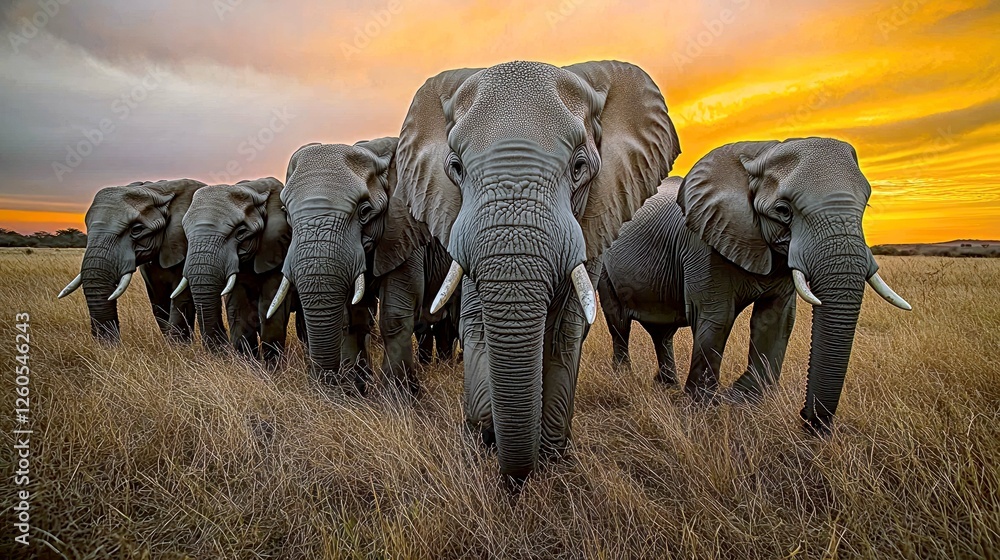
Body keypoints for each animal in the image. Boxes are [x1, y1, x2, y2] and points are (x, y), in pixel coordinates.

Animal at [171, 177, 302, 365]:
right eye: (186, 234)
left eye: (241, 232)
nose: (224, 347)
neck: (253, 190)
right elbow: (239, 308)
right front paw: (250, 366)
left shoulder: (277, 251)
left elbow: (269, 307)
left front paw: (272, 370)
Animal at [268, 138, 460, 396]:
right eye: (287, 214)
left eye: (365, 211)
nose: (323, 387)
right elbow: (353, 319)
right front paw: (354, 393)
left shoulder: (405, 230)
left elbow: (395, 315)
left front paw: (400, 397)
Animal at [378, 60, 680, 480]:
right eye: (456, 168)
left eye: (579, 167)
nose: (514, 477)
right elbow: (476, 325)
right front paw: (484, 435)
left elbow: (564, 335)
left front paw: (552, 457)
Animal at [599, 138, 912, 435]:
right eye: (783, 211)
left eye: (865, 206)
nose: (809, 422)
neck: (760, 155)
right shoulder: (703, 241)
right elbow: (716, 316)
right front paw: (704, 407)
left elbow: (775, 319)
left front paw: (743, 400)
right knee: (619, 323)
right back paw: (624, 379)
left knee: (662, 332)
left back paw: (667, 386)